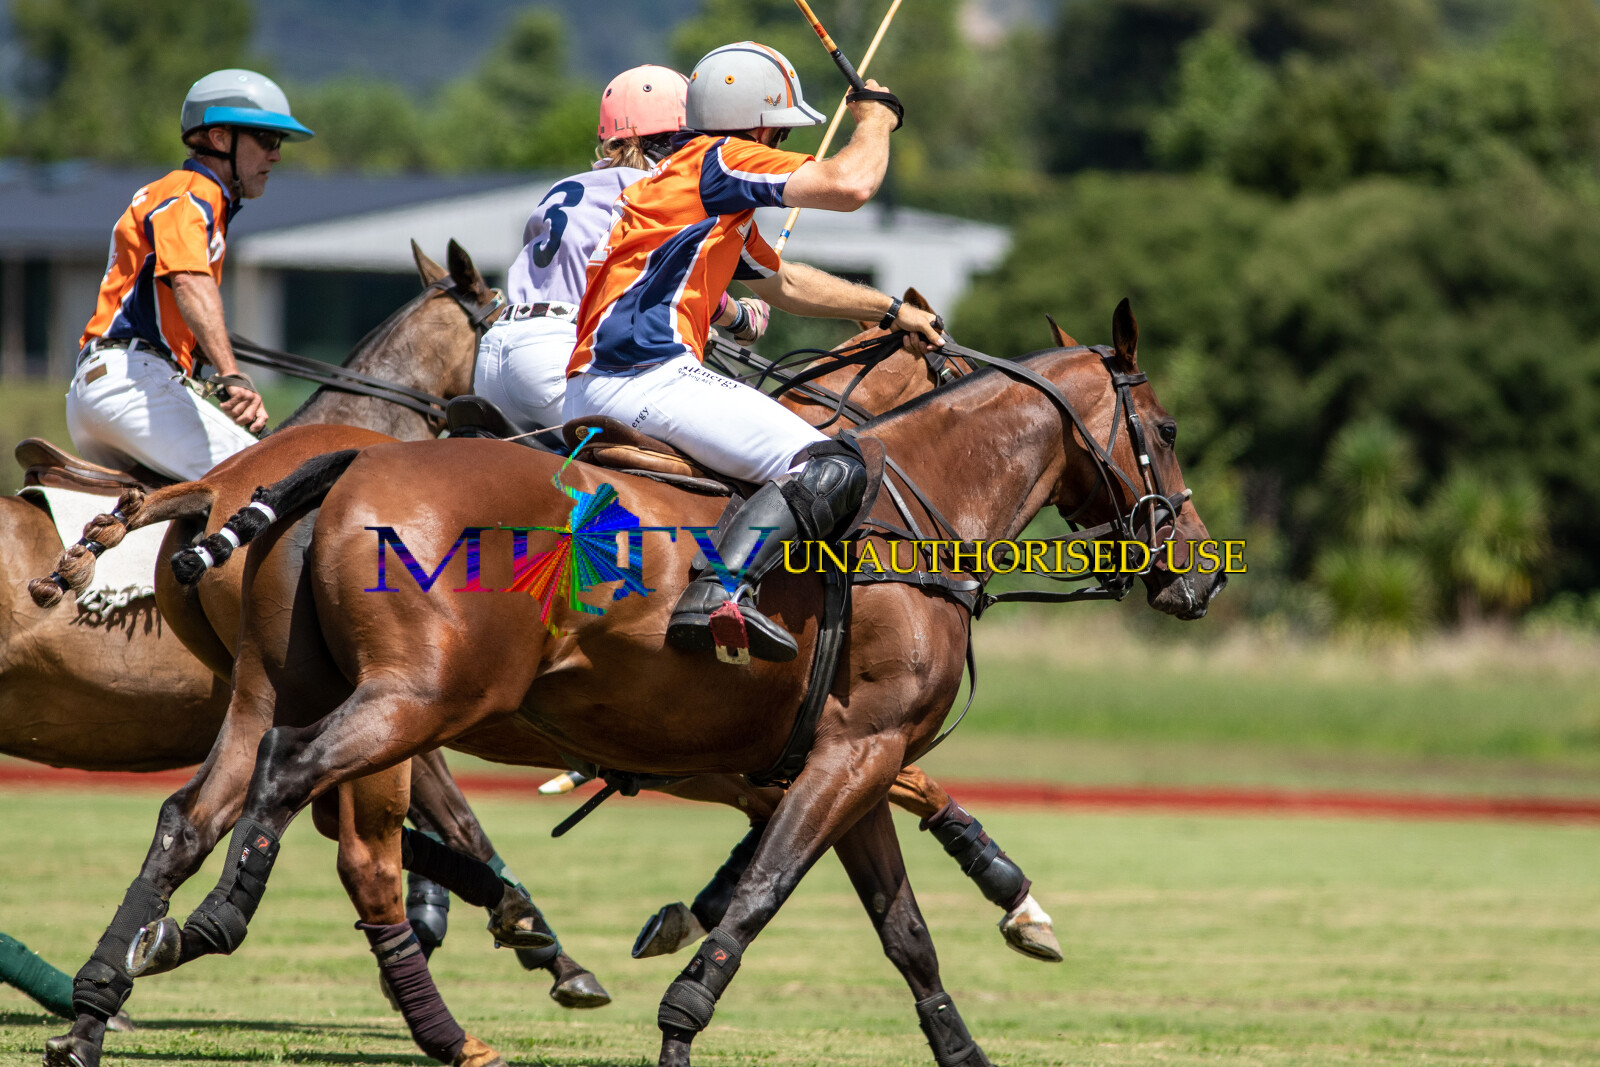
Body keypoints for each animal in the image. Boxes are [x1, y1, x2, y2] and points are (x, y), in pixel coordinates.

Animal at [151, 299, 1222, 1067]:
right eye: (1165, 428)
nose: (1201, 574)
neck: (915, 505)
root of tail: (344, 464)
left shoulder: (848, 758)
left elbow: (902, 929)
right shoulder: (854, 753)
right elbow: (760, 895)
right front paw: (678, 1013)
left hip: (287, 685)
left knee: (207, 804)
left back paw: (129, 967)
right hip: (417, 701)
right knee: (312, 799)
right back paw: (237, 923)